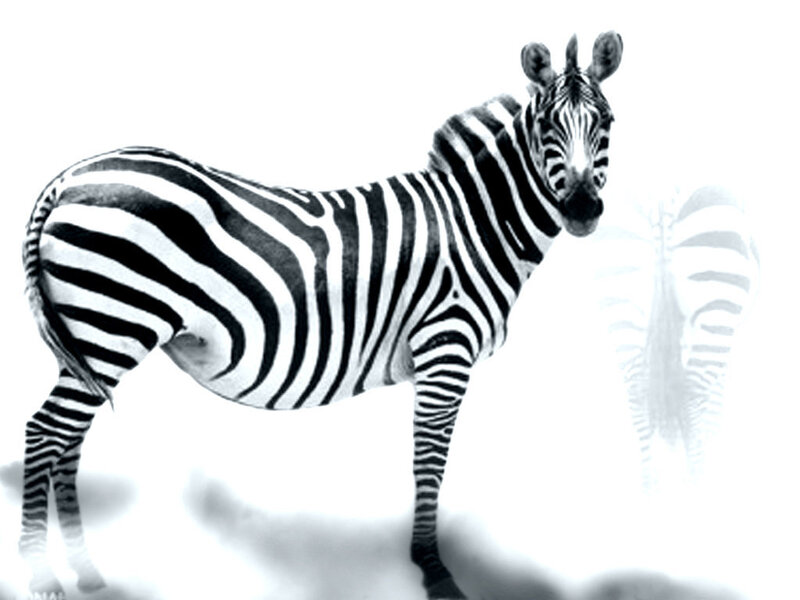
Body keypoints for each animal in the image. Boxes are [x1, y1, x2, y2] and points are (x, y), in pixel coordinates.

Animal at [19, 32, 622, 599]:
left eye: (608, 123)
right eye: (546, 125)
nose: (582, 210)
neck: (474, 223)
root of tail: (69, 176)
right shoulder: (446, 346)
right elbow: (429, 458)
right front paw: (433, 570)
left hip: (89, 342)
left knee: (68, 441)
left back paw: (86, 571)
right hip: (110, 326)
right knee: (44, 431)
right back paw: (41, 575)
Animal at [591, 185, 759, 490]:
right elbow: (713, 410)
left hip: (620, 296)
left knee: (638, 390)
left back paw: (651, 484)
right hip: (715, 298)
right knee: (691, 395)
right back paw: (696, 482)